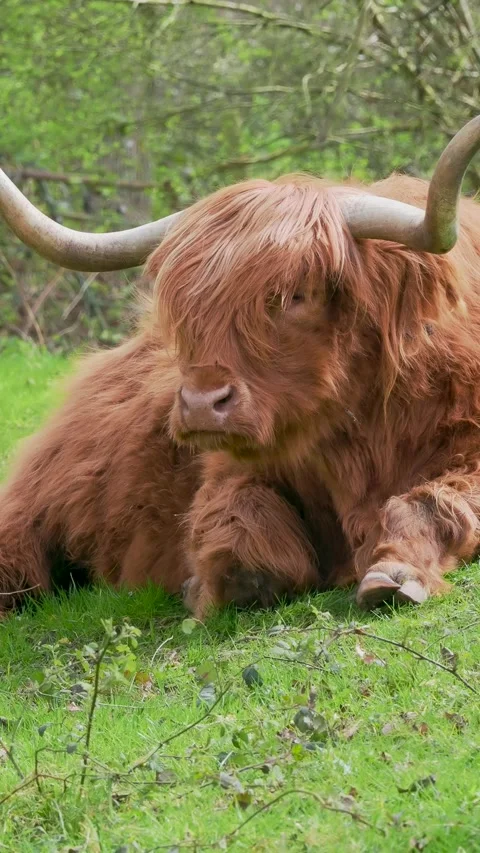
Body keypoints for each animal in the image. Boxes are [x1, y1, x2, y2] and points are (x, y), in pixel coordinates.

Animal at [0, 116, 480, 619]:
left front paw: (394, 572)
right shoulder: (229, 469)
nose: (200, 404)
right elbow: (237, 515)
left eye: (296, 295)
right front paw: (222, 581)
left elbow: (433, 502)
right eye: (186, 306)